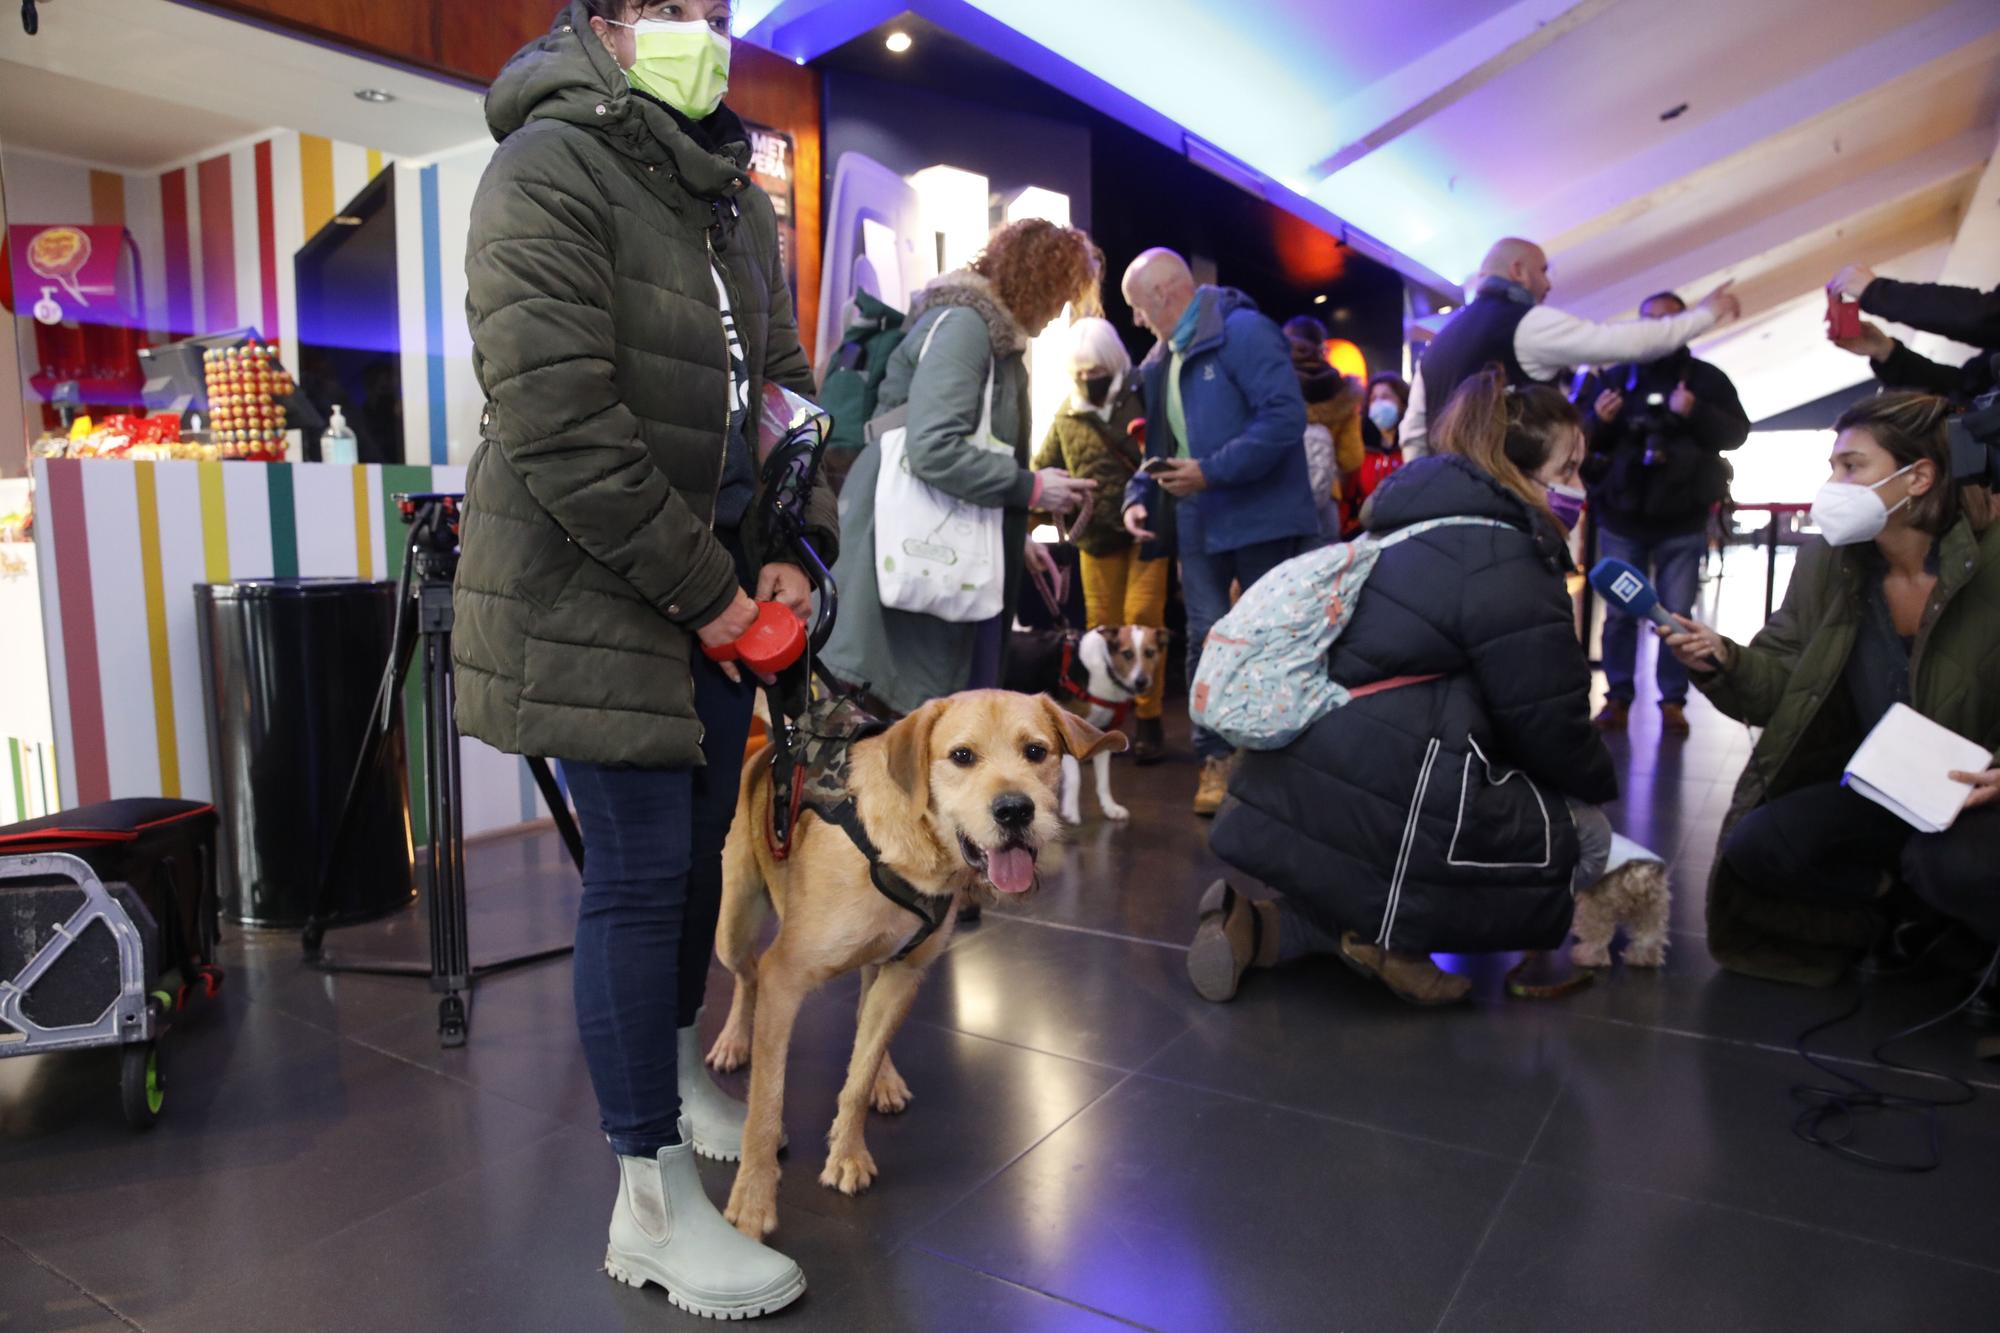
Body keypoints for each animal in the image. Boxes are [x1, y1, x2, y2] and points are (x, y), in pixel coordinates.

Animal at [704, 684, 1128, 1232]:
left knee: (864, 1017)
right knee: (747, 975)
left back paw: (884, 1077)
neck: (914, 851)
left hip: (881, 966)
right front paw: (754, 1198)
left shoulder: (905, 972)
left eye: (1036, 751)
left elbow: (858, 1075)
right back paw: (734, 1040)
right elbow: (766, 1101)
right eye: (962, 756)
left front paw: (847, 1152)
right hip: (733, 926)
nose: (1015, 811)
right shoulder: (785, 979)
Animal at [1560, 832, 1672, 964]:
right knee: (1647, 941)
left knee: (1597, 943)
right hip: (1652, 913)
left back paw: (1586, 958)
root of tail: (1638, 874)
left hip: (1596, 911)